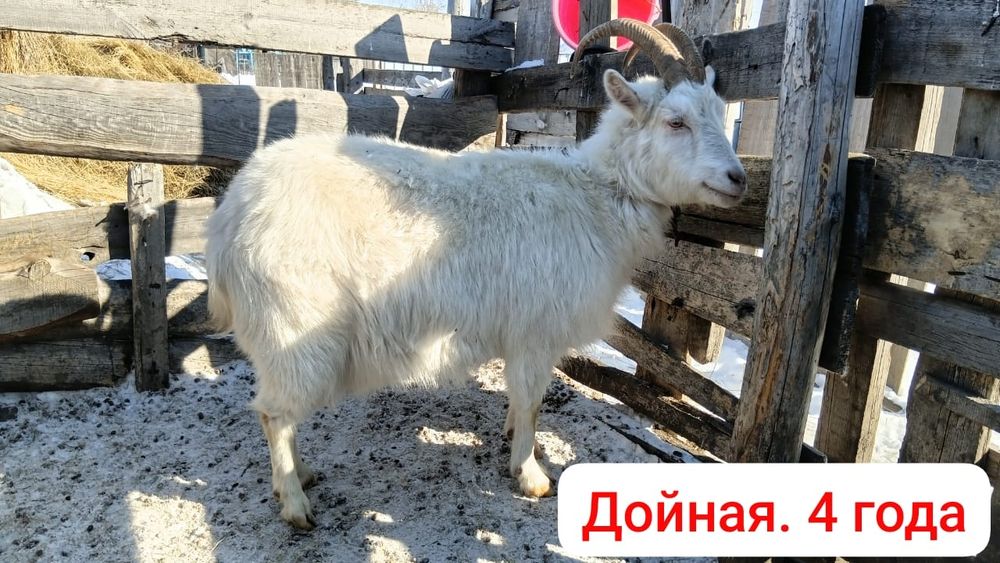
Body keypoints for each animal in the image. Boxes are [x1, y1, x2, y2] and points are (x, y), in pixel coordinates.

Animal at [205, 19, 747, 529]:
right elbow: (532, 401)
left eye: (718, 113)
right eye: (676, 121)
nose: (738, 179)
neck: (596, 195)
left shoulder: (522, 334)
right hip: (293, 328)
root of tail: (230, 215)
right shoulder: (535, 331)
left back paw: (303, 475)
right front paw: (530, 476)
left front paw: (515, 440)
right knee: (274, 414)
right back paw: (295, 503)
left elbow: (520, 402)